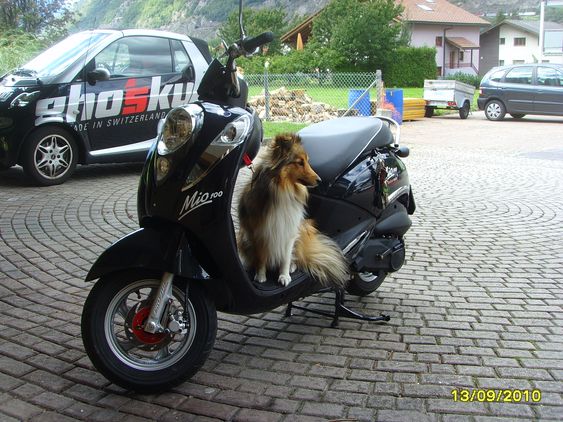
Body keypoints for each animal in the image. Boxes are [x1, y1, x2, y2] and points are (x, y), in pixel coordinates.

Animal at [237, 134, 348, 288]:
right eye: (299, 162)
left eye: (307, 161)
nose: (320, 180)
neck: (282, 190)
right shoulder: (260, 232)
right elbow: (261, 257)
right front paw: (260, 276)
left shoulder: (289, 230)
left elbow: (286, 256)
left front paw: (284, 275)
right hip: (244, 236)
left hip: (303, 228)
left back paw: (292, 266)